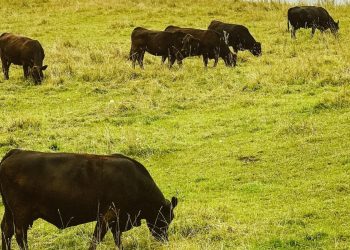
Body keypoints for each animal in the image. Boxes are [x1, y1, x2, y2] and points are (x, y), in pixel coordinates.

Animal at [0, 149, 179, 249]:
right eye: (165, 218)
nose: (164, 239)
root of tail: (17, 152)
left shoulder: (116, 221)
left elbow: (117, 239)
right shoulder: (107, 216)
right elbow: (96, 239)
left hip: (9, 212)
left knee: (6, 231)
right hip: (21, 214)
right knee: (20, 236)